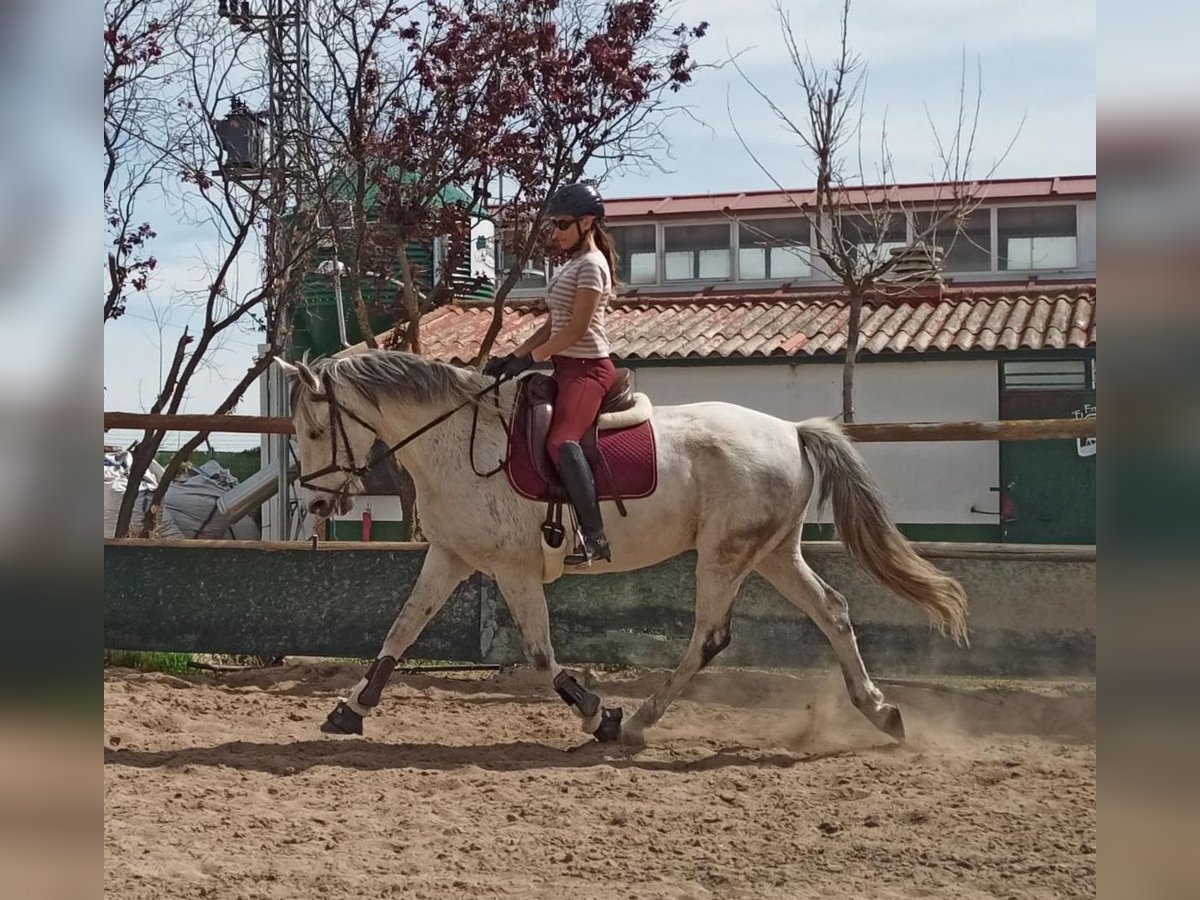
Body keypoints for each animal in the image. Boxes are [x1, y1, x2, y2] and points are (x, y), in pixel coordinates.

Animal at [278, 352, 964, 748]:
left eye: (311, 430)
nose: (314, 503)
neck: (456, 441)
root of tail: (792, 431)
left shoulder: (512, 568)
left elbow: (539, 656)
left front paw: (597, 714)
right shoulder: (450, 556)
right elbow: (400, 631)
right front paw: (351, 708)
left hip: (724, 556)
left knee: (710, 637)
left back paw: (636, 723)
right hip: (772, 553)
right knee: (834, 611)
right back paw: (880, 712)